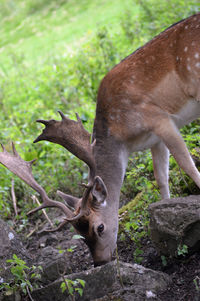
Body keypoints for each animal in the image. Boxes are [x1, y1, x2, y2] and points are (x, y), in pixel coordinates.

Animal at [0, 12, 200, 264]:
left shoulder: (160, 119)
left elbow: (186, 164)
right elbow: (161, 178)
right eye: (80, 234)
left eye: (100, 227)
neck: (123, 138)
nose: (101, 262)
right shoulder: (154, 140)